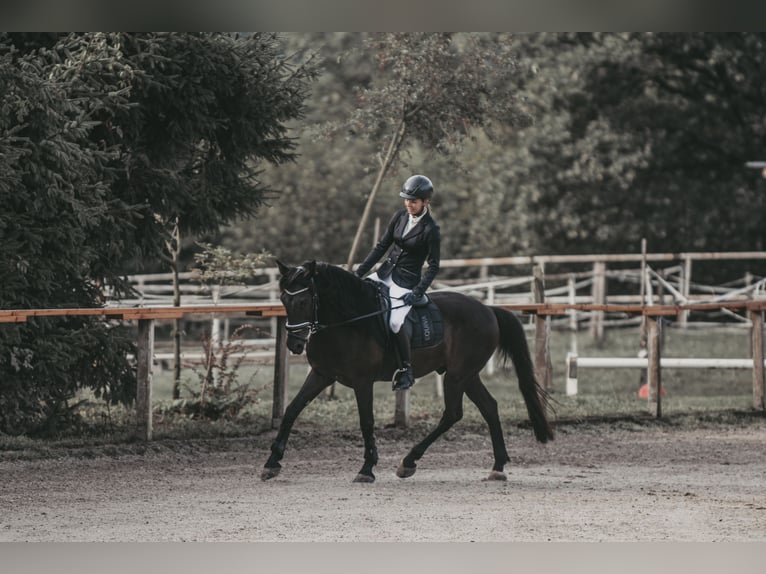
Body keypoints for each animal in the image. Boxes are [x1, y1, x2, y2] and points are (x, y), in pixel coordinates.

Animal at [261, 260, 554, 483]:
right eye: (284, 299)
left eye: (305, 300)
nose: (295, 344)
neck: (347, 322)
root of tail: (488, 310)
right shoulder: (321, 375)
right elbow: (292, 410)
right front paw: (272, 462)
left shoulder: (362, 381)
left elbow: (366, 421)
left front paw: (367, 469)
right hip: (467, 375)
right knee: (490, 407)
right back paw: (498, 467)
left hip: (457, 376)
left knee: (453, 413)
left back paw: (409, 461)